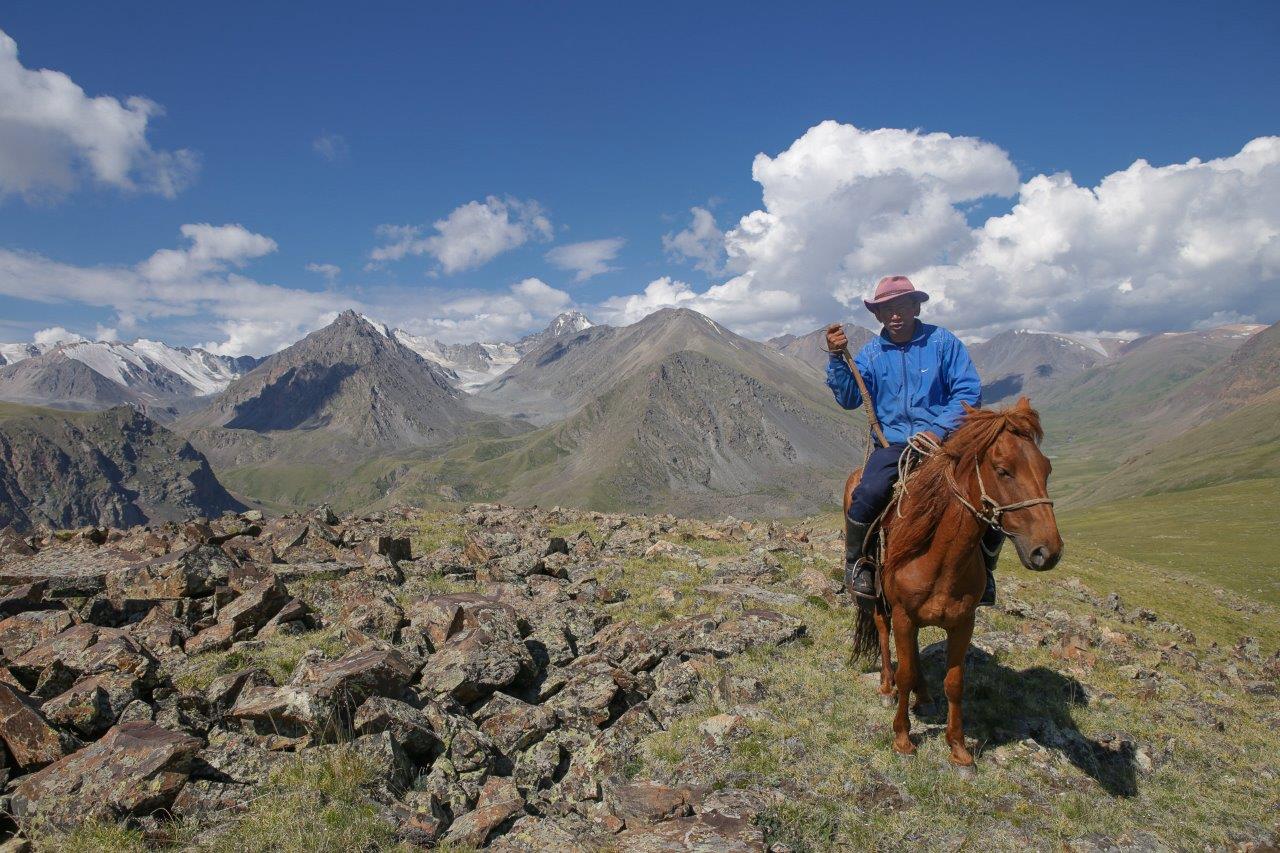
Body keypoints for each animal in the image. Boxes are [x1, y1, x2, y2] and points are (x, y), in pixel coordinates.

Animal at [844, 399, 1064, 768]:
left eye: (1046, 469)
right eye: (1002, 470)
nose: (1047, 551)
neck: (941, 556)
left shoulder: (964, 622)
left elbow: (955, 681)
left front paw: (959, 748)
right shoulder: (903, 614)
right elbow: (905, 671)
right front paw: (902, 738)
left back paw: (924, 696)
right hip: (878, 597)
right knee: (883, 632)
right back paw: (887, 686)